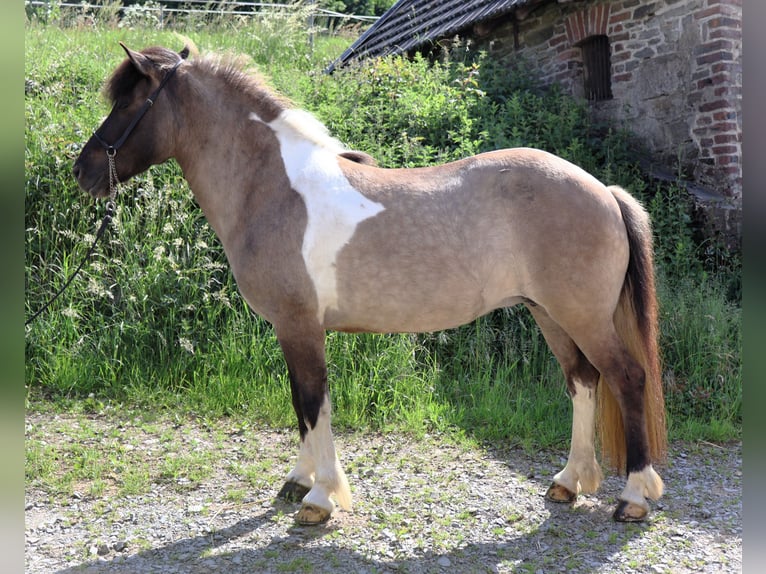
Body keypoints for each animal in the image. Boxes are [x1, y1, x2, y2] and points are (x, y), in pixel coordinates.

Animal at [73, 43, 667, 525]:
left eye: (127, 103)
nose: (83, 172)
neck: (273, 188)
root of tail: (603, 190)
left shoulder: (299, 326)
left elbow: (313, 403)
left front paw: (319, 499)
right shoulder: (294, 330)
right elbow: (302, 404)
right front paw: (300, 482)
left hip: (582, 316)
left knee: (626, 378)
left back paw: (633, 497)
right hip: (549, 313)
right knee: (583, 381)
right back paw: (569, 482)